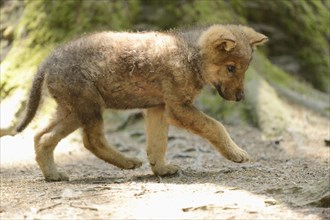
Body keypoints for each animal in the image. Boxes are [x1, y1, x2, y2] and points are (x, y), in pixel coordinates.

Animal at [16, 24, 268, 181]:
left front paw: (162, 170)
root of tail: (49, 59)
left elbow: (157, 145)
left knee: (42, 137)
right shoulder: (178, 108)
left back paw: (53, 175)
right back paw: (127, 162)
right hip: (89, 107)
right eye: (231, 68)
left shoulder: (159, 108)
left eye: (244, 69)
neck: (190, 56)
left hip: (72, 111)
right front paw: (236, 153)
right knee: (90, 140)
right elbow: (216, 126)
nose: (241, 98)